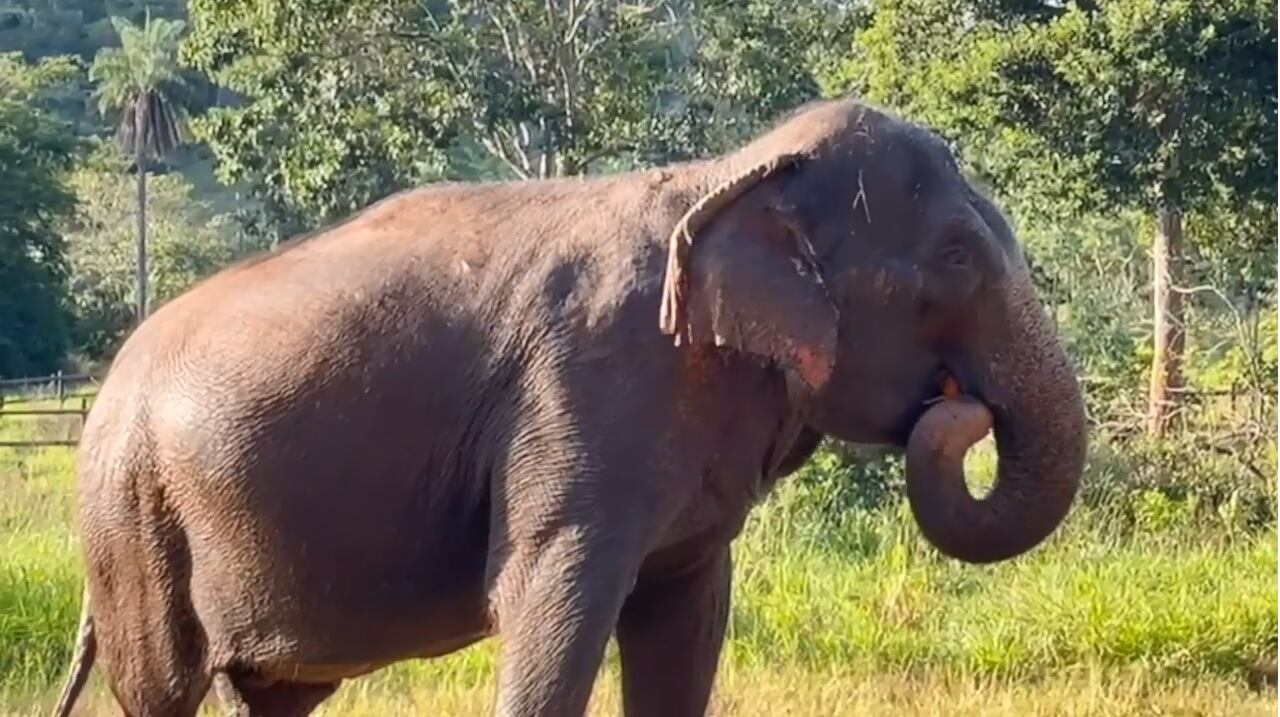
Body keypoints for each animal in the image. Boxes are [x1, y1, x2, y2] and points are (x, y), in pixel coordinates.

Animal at [55, 96, 1085, 717]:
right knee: (164, 685)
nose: (959, 407)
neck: (734, 170)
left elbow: (685, 617)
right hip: (134, 515)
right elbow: (551, 597)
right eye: (956, 257)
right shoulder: (584, 391)